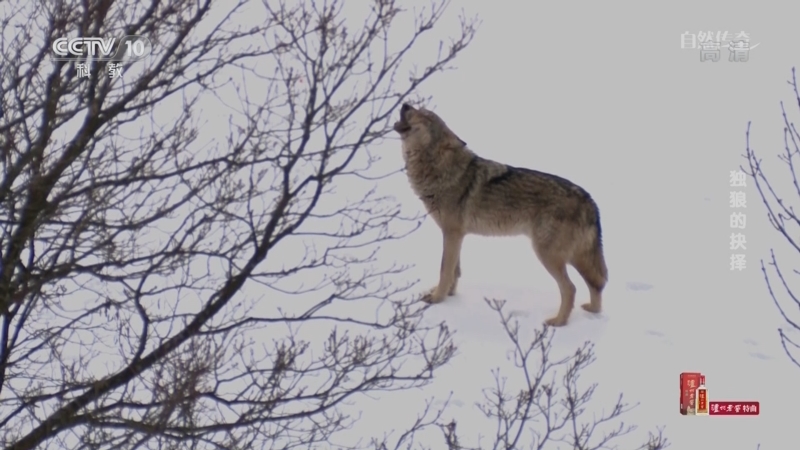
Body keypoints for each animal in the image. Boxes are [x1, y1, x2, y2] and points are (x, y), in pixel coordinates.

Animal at [392, 103, 608, 326]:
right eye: (418, 108)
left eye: (425, 115)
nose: (405, 104)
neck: (440, 167)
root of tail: (590, 200)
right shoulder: (455, 234)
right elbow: (454, 271)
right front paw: (449, 296)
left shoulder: (452, 233)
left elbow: (445, 270)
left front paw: (437, 299)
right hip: (575, 257)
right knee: (596, 284)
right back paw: (592, 310)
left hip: (548, 255)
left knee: (571, 288)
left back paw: (558, 322)